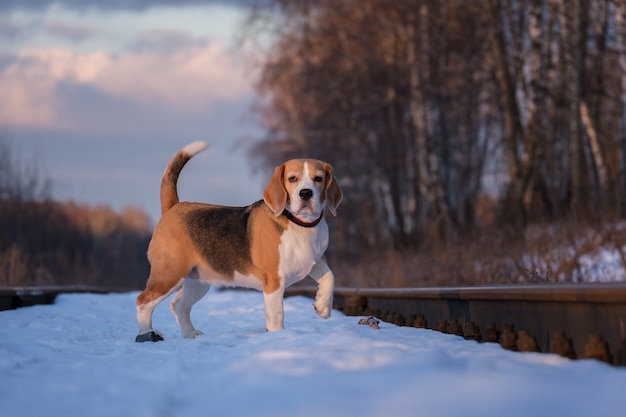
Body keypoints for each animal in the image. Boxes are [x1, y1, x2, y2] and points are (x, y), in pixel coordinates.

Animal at [135, 141, 342, 340]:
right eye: (292, 179)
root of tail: (174, 206)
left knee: (178, 305)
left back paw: (190, 334)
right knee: (143, 302)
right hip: (169, 274)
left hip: (198, 281)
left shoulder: (314, 260)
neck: (301, 225)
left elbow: (330, 277)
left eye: (318, 178)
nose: (306, 193)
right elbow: (277, 316)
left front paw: (323, 306)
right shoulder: (274, 281)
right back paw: (147, 332)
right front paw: (278, 336)